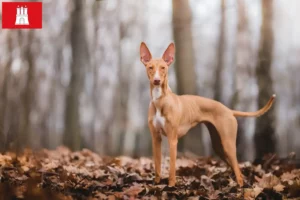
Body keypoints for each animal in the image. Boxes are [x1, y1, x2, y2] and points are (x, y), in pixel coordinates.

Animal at [139, 41, 276, 187]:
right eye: (150, 67)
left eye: (163, 68)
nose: (157, 81)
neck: (161, 100)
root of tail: (228, 110)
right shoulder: (156, 138)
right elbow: (157, 166)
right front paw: (157, 185)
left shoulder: (172, 140)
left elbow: (171, 169)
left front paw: (171, 186)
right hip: (218, 146)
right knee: (237, 170)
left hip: (228, 144)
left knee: (238, 171)